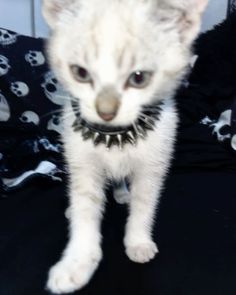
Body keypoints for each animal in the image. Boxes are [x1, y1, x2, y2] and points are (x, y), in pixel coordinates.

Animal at [42, 0, 208, 294]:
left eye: (139, 78)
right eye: (80, 73)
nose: (105, 111)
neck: (114, 134)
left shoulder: (153, 166)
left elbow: (144, 205)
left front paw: (138, 241)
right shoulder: (83, 166)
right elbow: (85, 210)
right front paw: (77, 263)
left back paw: (121, 193)